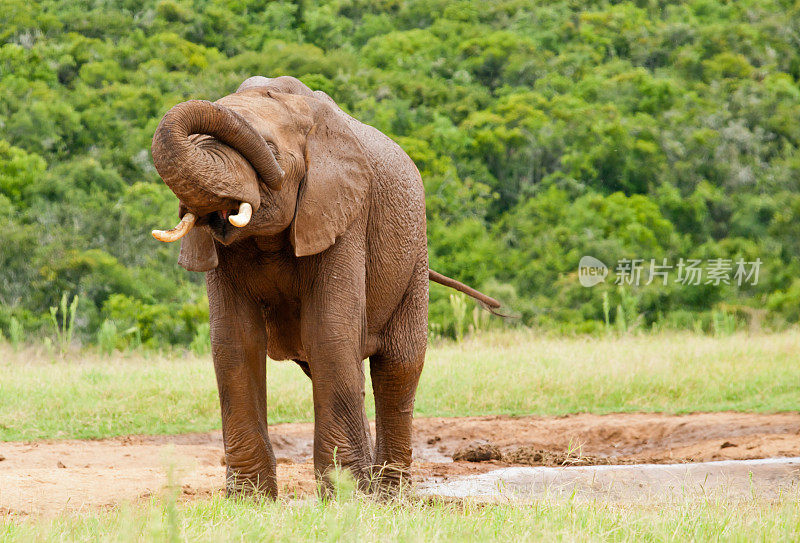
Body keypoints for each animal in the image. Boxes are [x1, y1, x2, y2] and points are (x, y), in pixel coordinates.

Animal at [150, 75, 500, 498]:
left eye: (269, 151)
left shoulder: (345, 214)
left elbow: (329, 334)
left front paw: (346, 498)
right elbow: (235, 342)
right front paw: (250, 501)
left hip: (414, 257)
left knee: (399, 365)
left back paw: (389, 496)